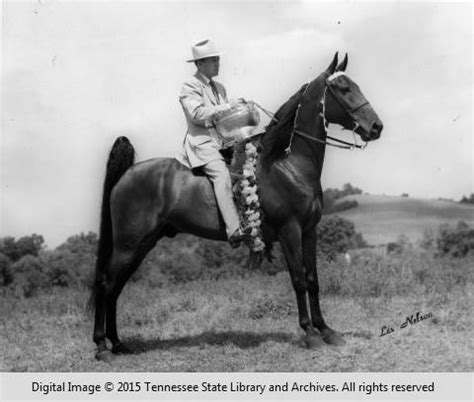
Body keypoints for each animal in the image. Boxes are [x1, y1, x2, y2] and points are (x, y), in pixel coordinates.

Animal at [90, 54, 384, 362]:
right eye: (343, 88)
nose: (376, 127)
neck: (287, 165)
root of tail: (127, 174)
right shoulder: (290, 231)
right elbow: (299, 280)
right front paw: (310, 334)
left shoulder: (309, 231)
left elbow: (313, 279)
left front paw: (327, 331)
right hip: (128, 245)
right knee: (105, 285)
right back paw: (102, 347)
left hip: (141, 245)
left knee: (115, 288)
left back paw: (118, 344)